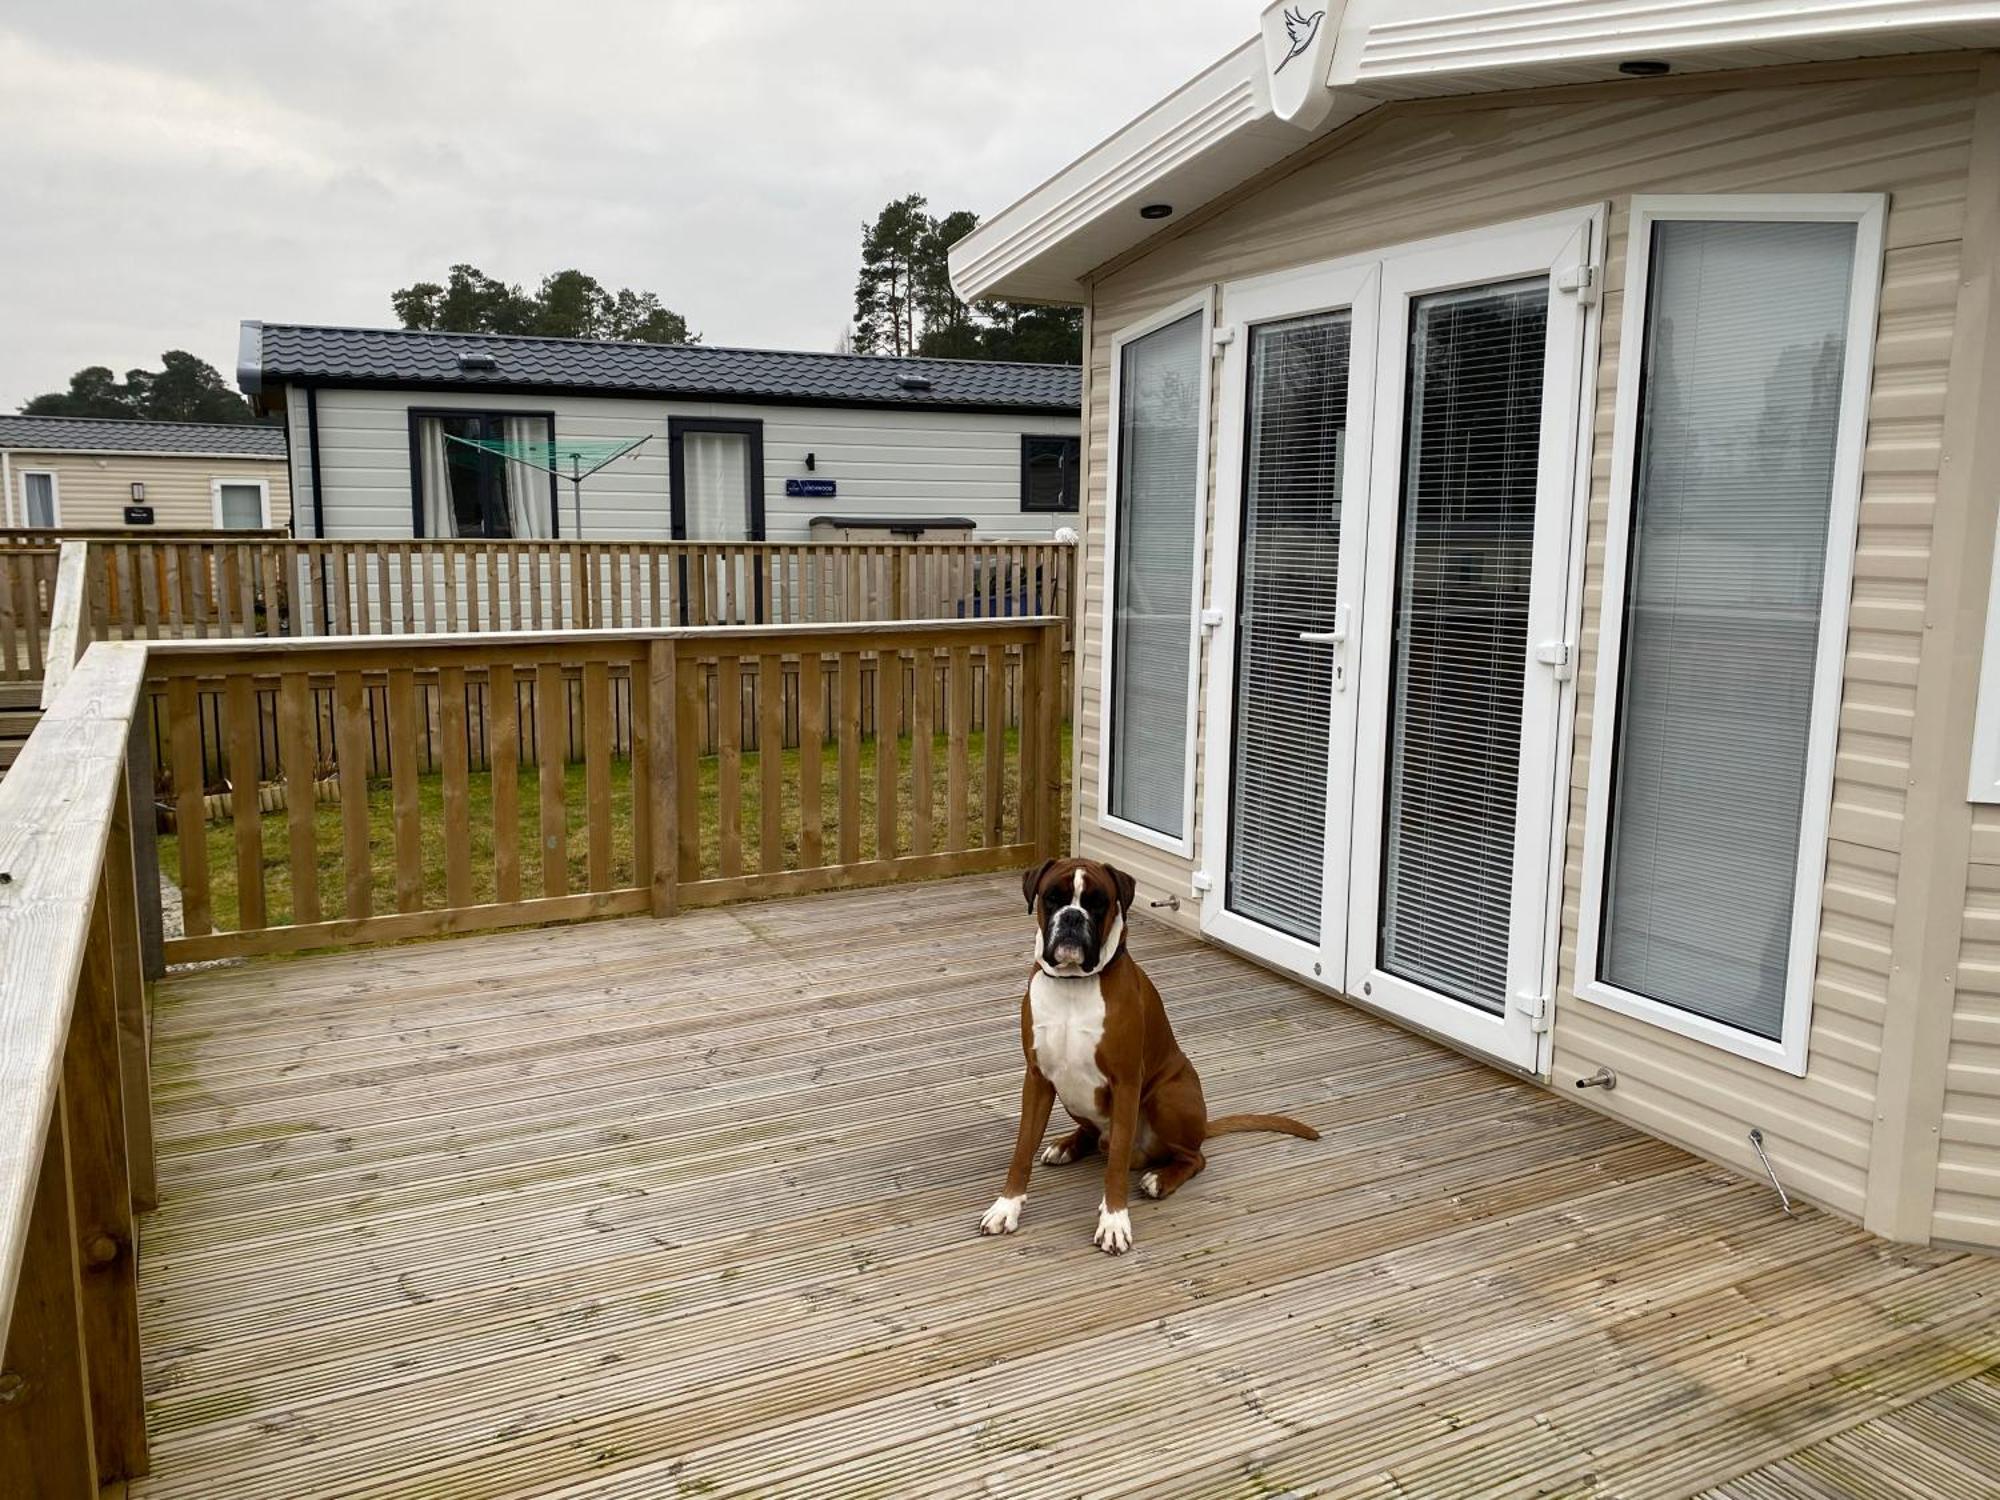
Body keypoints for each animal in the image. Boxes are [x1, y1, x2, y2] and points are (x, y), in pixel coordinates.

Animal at [976, 856, 1320, 1256]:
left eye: (1097, 902)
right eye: (1052, 898)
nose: (1073, 917)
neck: (1074, 985)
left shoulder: (1126, 1082)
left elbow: (1116, 1164)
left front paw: (1113, 1222)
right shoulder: (1038, 1079)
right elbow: (1021, 1150)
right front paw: (1006, 1207)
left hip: (1167, 1096)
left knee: (1190, 1155)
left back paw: (1160, 1178)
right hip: (1071, 1095)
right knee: (1094, 1136)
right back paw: (1067, 1145)